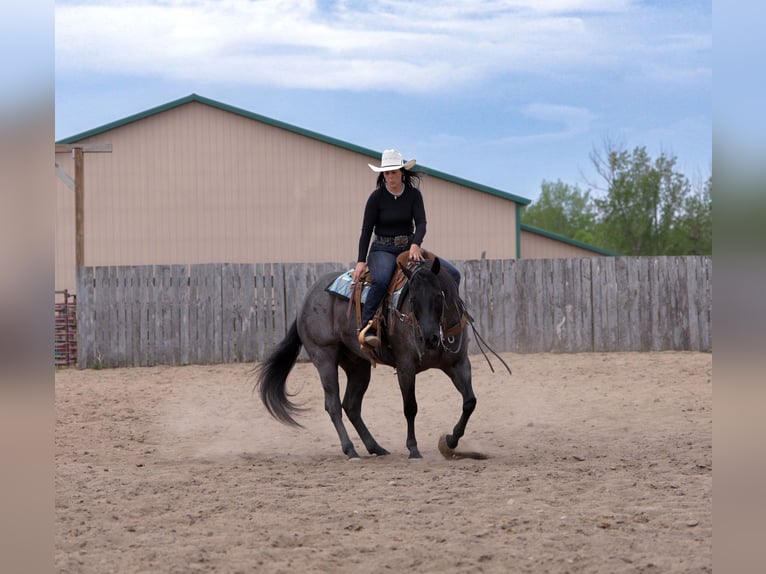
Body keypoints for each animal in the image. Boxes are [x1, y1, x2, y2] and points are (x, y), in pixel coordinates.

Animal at [255, 256, 480, 460]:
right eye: (413, 300)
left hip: (358, 365)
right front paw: (413, 449)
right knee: (333, 405)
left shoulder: (459, 364)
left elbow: (470, 401)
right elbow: (410, 407)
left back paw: (376, 447)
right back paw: (350, 450)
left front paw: (450, 441)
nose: (429, 338)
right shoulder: (406, 367)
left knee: (351, 406)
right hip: (324, 356)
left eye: (438, 296)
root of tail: (307, 299)